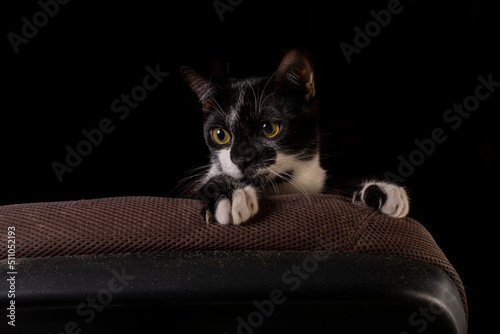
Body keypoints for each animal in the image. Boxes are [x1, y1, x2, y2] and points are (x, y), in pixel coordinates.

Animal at [182, 49, 408, 224]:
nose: (240, 160)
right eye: (220, 134)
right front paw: (228, 194)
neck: (280, 187)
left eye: (269, 128)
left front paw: (378, 190)